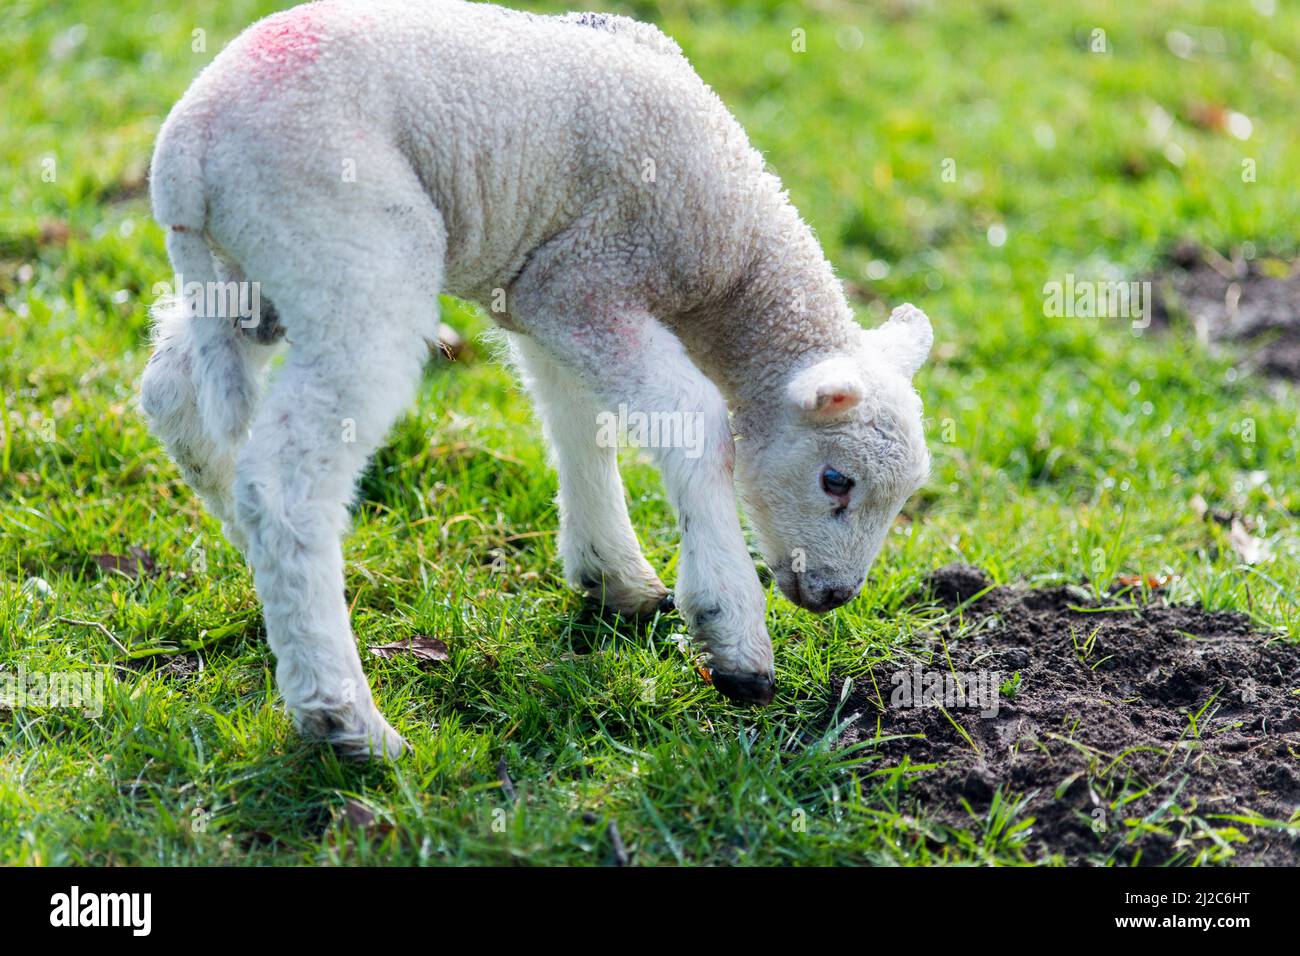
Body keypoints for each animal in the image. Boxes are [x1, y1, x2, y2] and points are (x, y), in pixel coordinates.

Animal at [141, 0, 934, 759]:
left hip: (252, 280)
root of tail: (187, 150)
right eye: (836, 481)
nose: (835, 595)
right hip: (351, 256)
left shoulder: (542, 298)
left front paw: (613, 575)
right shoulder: (586, 280)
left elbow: (579, 419)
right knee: (284, 483)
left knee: (175, 399)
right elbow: (698, 423)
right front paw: (731, 633)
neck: (733, 261)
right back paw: (345, 720)